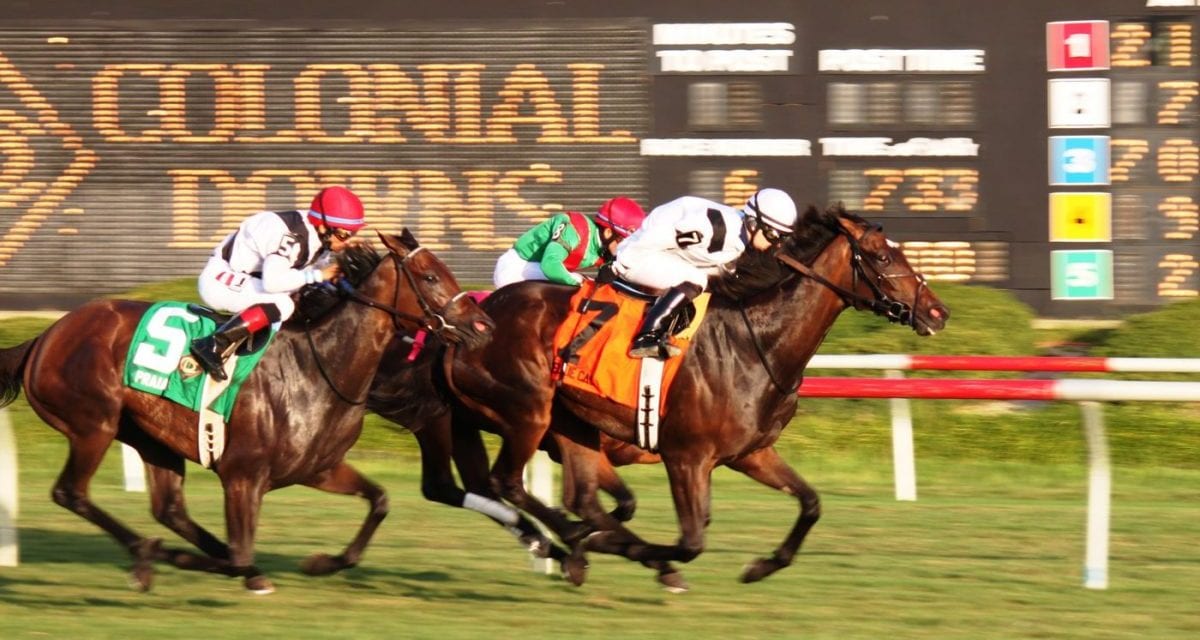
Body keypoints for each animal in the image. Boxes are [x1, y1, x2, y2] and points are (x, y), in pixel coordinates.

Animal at [0, 228, 492, 588]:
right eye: (430, 277)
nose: (483, 326)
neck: (318, 368)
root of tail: (45, 336)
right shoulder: (243, 476)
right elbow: (239, 555)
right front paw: (198, 561)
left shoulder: (318, 468)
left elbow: (381, 501)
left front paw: (322, 562)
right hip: (93, 425)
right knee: (72, 493)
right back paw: (145, 555)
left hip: (148, 437)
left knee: (169, 509)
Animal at [432, 204, 945, 583]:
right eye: (882, 258)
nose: (938, 312)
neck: (754, 343)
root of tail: (469, 322)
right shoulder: (686, 457)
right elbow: (691, 542)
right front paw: (633, 553)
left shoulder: (750, 453)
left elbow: (811, 503)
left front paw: (761, 566)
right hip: (529, 412)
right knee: (508, 484)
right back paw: (576, 545)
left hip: (571, 425)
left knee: (577, 498)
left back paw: (579, 542)